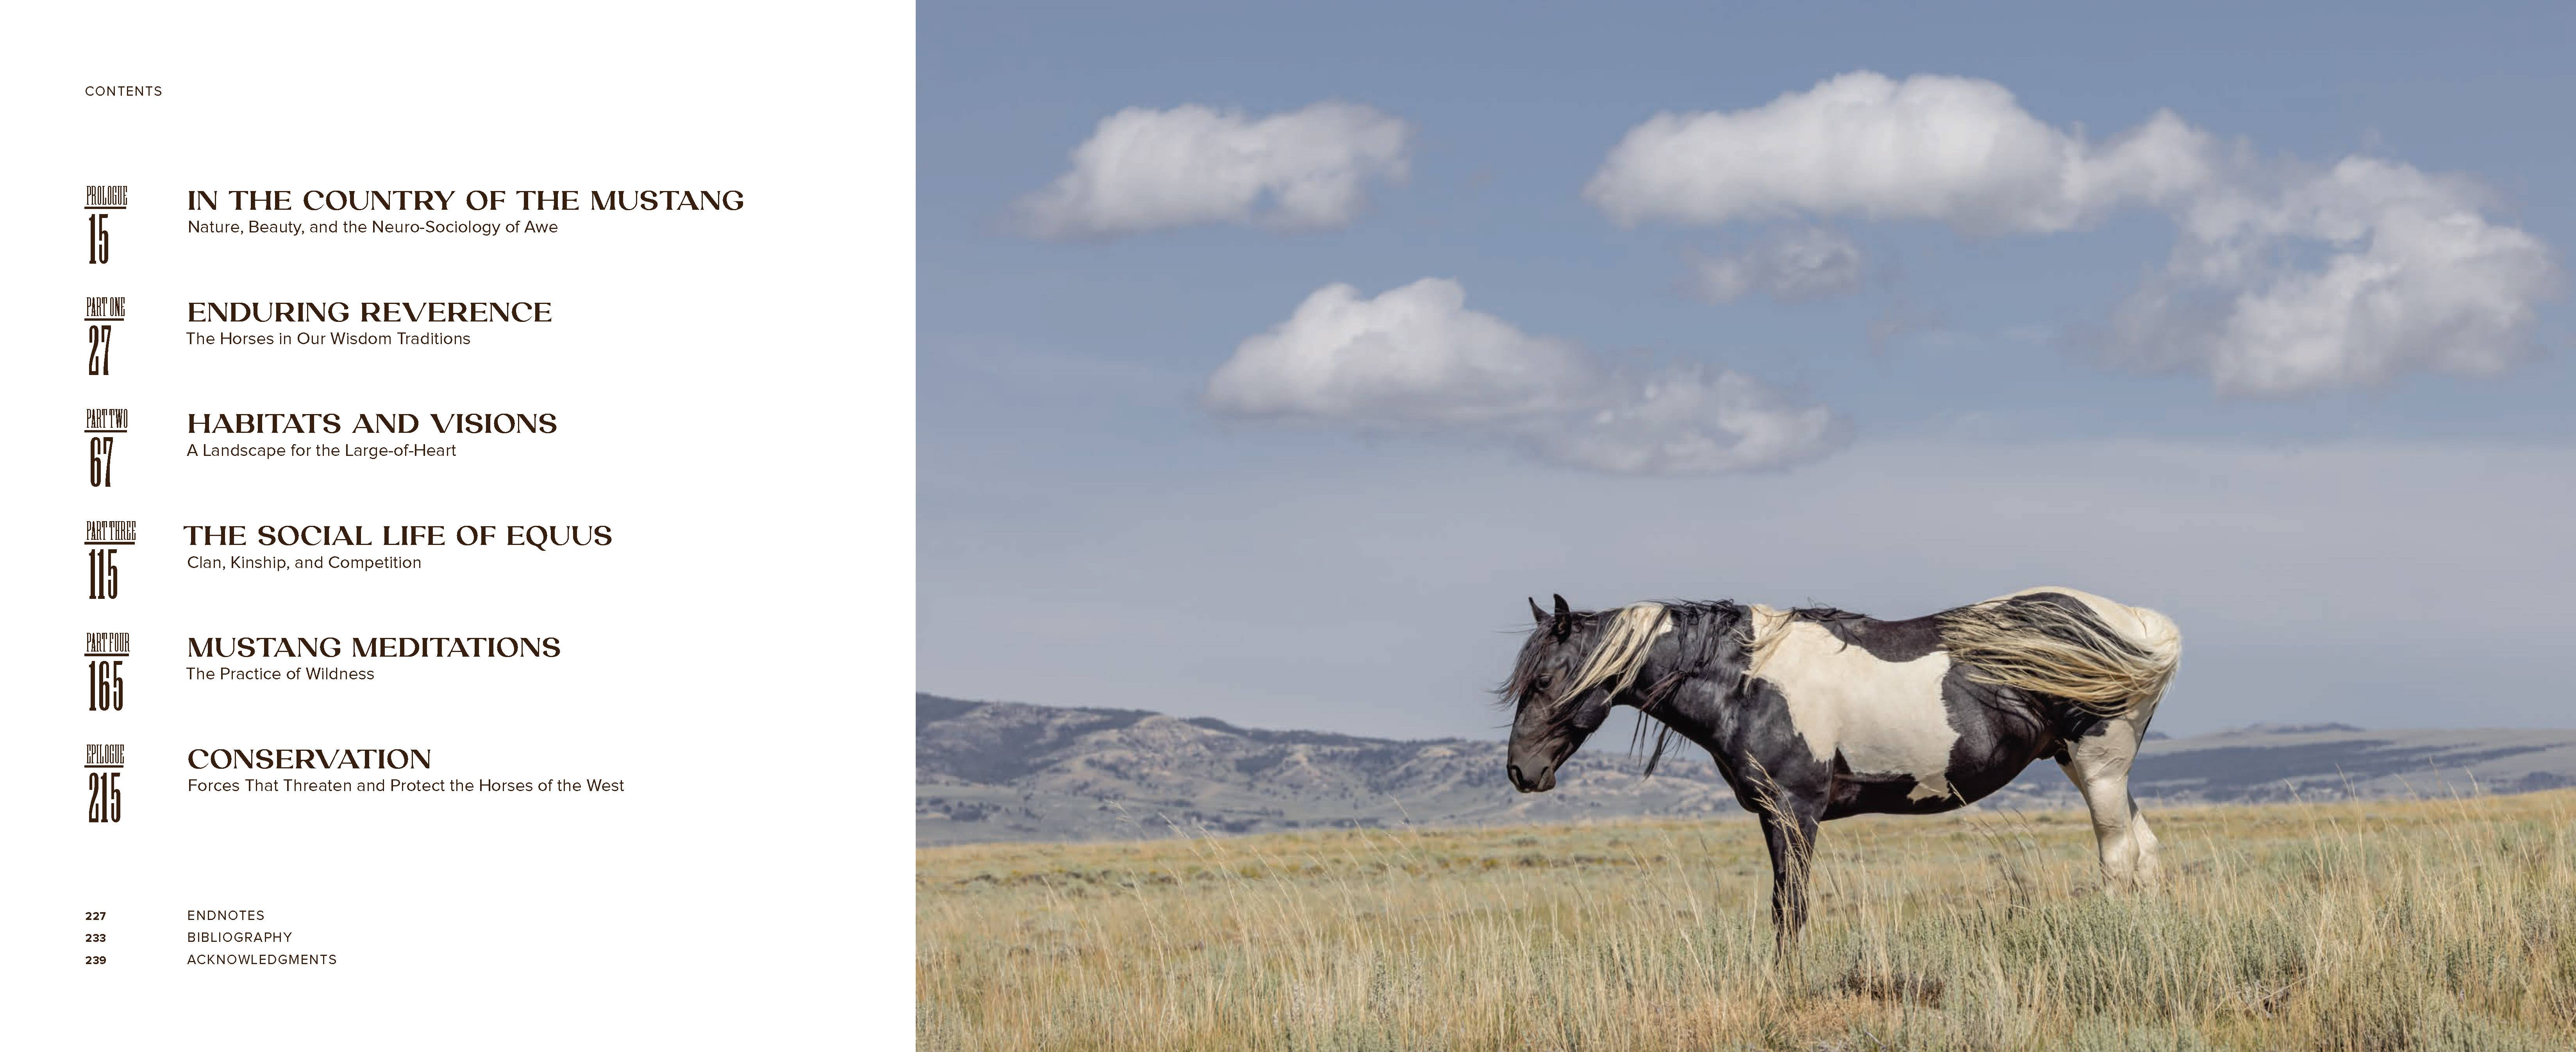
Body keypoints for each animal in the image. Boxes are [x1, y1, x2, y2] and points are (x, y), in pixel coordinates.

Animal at [1499, 588, 2180, 947]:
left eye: (1546, 679)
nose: (1520, 771)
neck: (1748, 680)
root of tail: (2136, 624)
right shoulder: (1776, 814)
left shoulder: (1794, 811)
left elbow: (1790, 906)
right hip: (2087, 767)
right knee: (2146, 852)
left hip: (2097, 765)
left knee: (2118, 857)